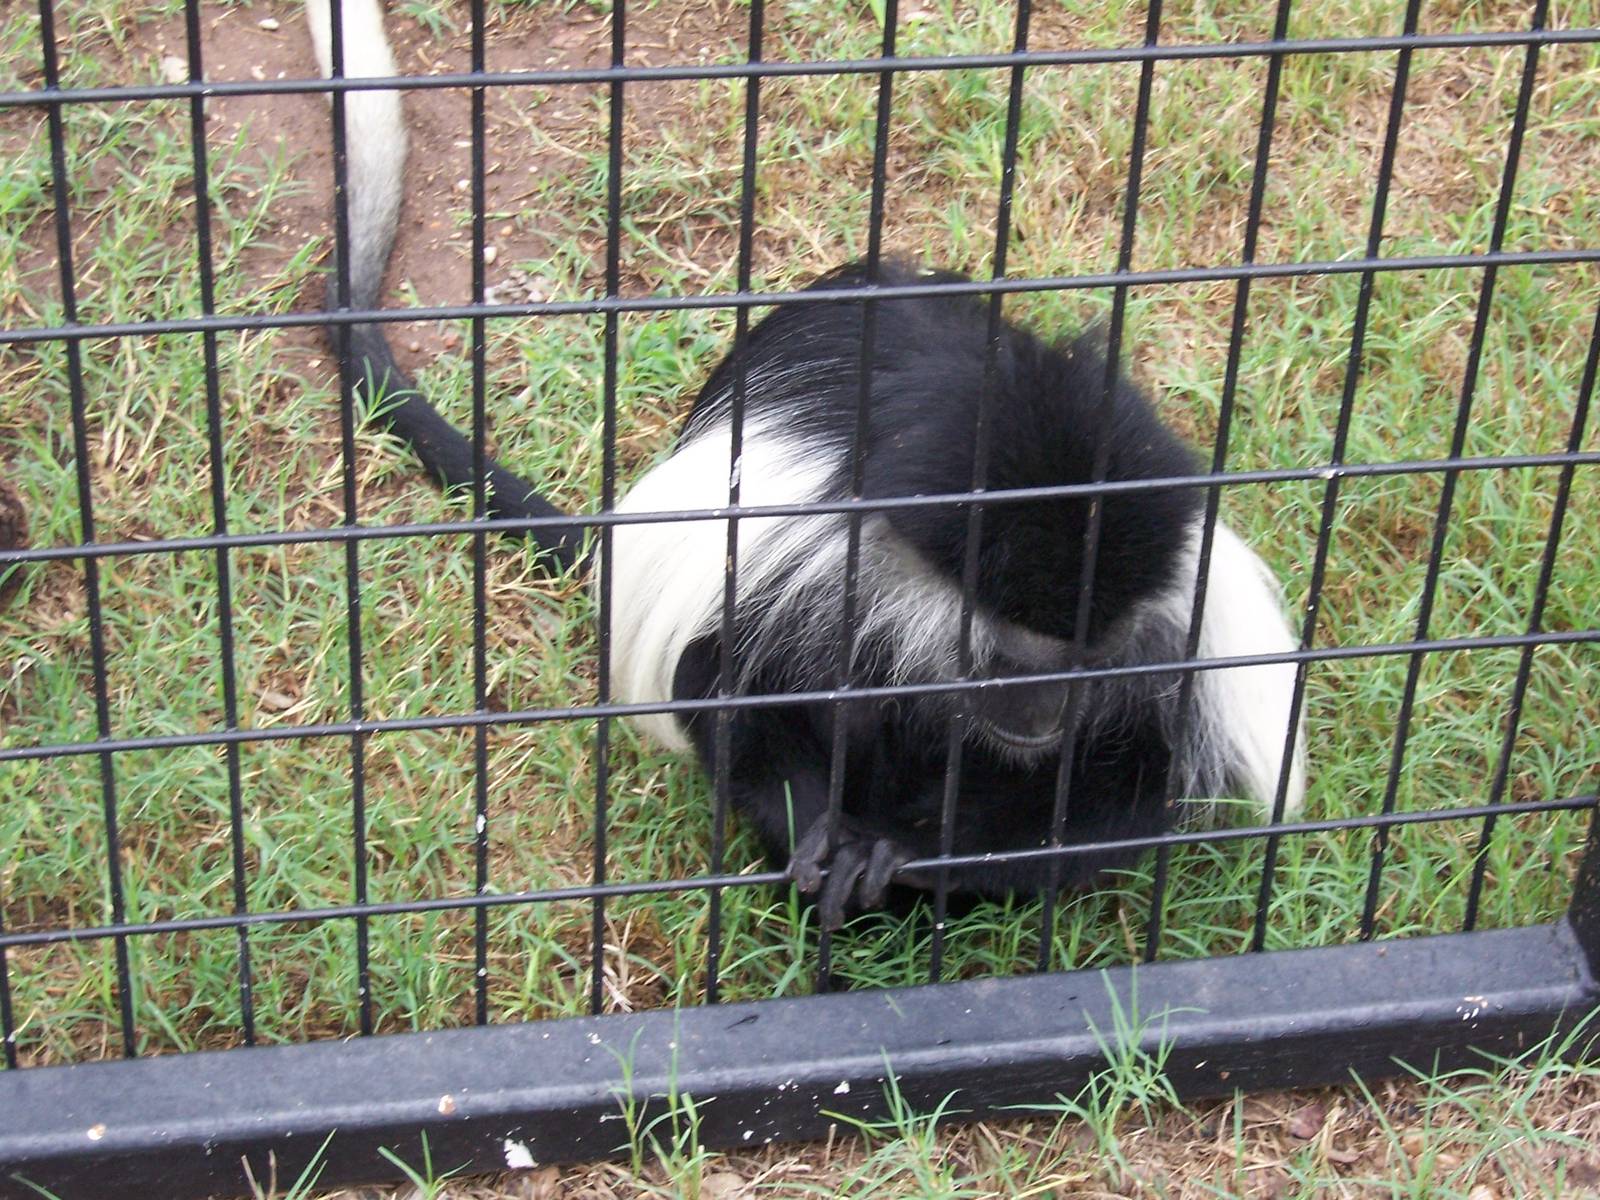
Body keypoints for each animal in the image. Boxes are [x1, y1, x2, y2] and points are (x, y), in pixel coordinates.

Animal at [304, 0, 1307, 929]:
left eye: (1085, 662)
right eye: (1004, 660)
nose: (1040, 718)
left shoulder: (1176, 620)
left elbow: (1129, 791)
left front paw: (905, 851)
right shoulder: (802, 557)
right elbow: (713, 681)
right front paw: (827, 835)